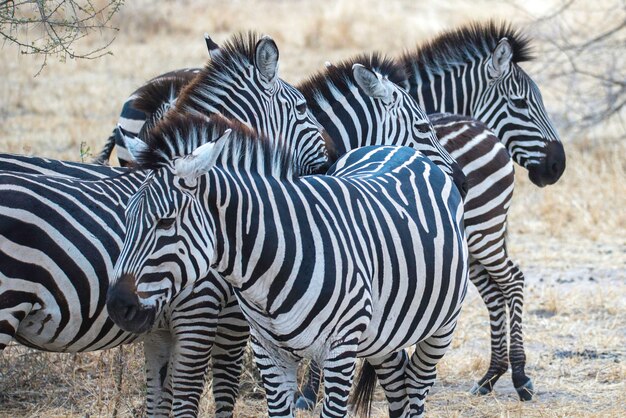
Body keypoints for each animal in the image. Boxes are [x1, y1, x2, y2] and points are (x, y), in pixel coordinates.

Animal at [0, 31, 330, 416]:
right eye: (303, 108)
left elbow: (161, 399)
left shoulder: (162, 325)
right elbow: (206, 395)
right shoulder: (208, 313)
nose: (328, 165)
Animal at [107, 112, 468, 418]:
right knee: (397, 380)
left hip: (441, 325)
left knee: (417, 386)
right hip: (381, 330)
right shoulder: (268, 351)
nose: (117, 306)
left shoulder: (339, 352)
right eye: (127, 217)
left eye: (166, 222)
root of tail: (397, 147)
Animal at [398, 21, 568, 400]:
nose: (557, 166)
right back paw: (501, 373)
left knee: (502, 285)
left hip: (477, 229)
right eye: (521, 103)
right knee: (498, 287)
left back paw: (505, 374)